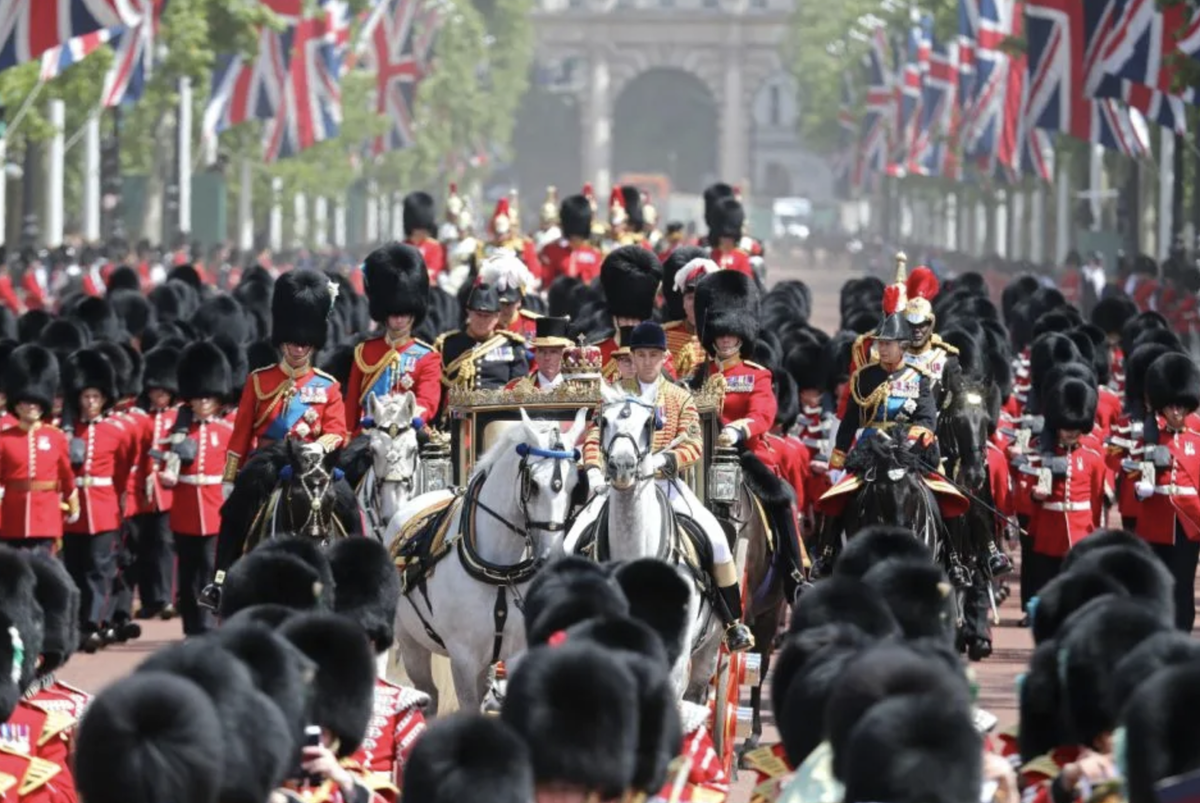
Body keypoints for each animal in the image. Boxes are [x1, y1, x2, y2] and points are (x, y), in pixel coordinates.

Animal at [386, 410, 588, 710]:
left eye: (576, 485)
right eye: (533, 485)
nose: (551, 558)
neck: (500, 573)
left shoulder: (517, 652)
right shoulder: (463, 659)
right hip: (411, 642)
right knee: (428, 693)